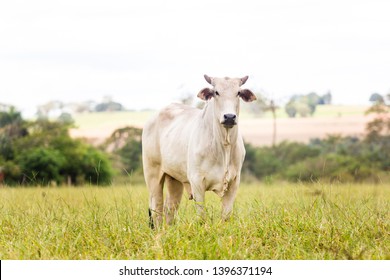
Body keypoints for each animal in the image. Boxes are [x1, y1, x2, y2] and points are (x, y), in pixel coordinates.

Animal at [142, 75, 256, 228]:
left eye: (238, 92)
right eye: (216, 92)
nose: (229, 117)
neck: (223, 146)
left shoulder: (234, 182)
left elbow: (226, 216)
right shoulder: (197, 182)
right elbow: (202, 217)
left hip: (174, 179)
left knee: (170, 208)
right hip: (152, 174)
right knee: (157, 208)